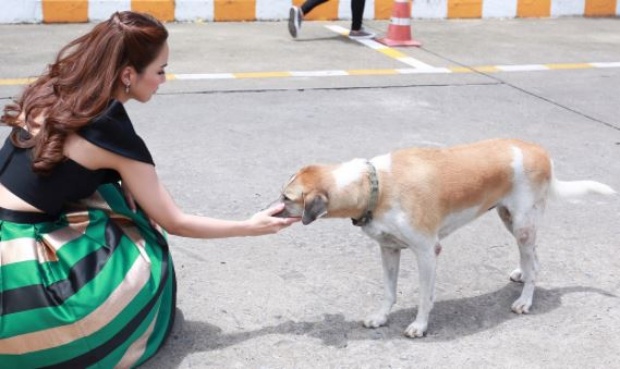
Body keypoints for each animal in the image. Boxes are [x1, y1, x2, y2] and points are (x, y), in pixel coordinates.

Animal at [276, 138, 616, 336]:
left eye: (286, 197)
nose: (272, 208)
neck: (376, 185)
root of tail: (541, 152)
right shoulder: (388, 250)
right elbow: (389, 291)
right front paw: (381, 318)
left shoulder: (427, 252)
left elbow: (425, 297)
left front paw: (419, 325)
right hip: (509, 218)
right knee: (533, 258)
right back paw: (522, 274)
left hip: (522, 223)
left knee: (534, 263)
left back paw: (525, 300)